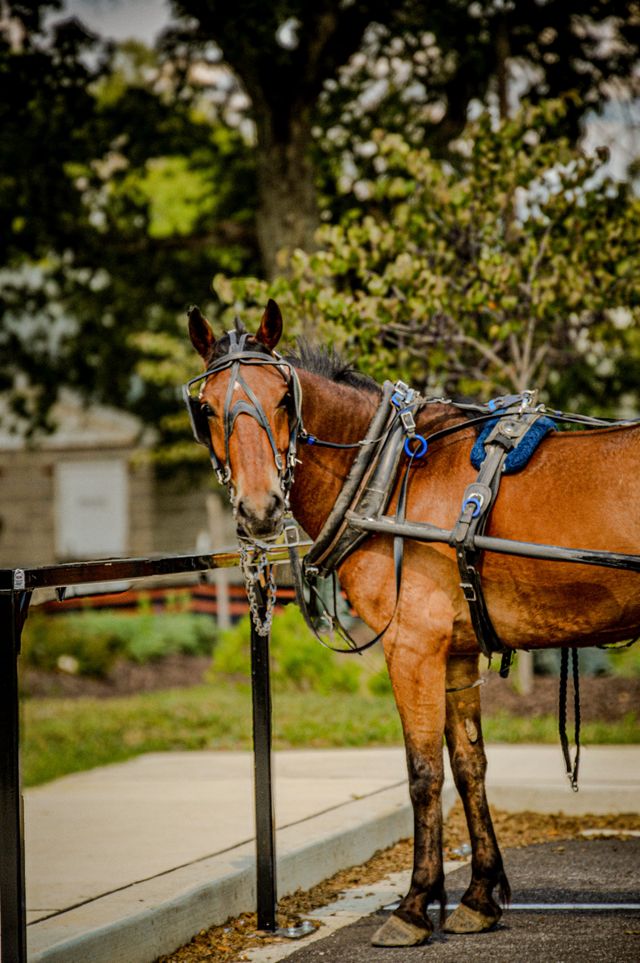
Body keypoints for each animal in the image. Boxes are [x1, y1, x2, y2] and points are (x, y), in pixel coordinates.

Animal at [186, 298, 640, 947]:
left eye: (283, 400)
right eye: (205, 409)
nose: (261, 507)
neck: (385, 474)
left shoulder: (412, 646)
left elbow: (423, 773)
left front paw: (413, 906)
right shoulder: (455, 651)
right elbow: (470, 765)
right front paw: (478, 897)